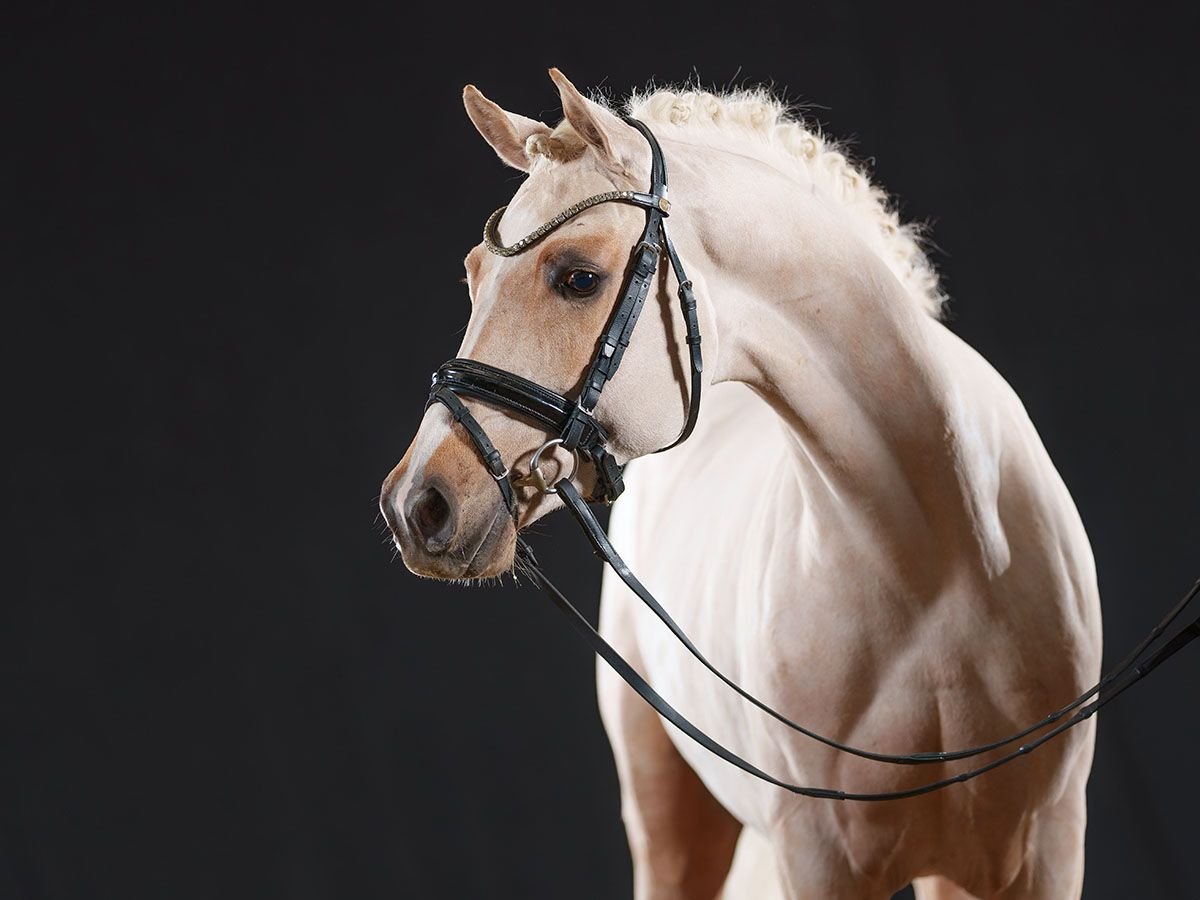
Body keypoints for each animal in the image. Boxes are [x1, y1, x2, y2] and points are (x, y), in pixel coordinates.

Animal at [379, 66, 1099, 897]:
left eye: (578, 278)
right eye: (472, 275)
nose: (417, 505)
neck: (940, 560)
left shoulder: (1042, 854)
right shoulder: (820, 857)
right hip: (666, 812)